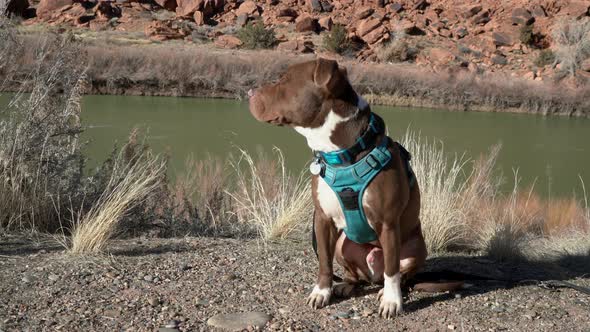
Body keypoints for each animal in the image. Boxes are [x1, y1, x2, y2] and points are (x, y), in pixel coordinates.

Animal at [247, 57, 428, 320]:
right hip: (344, 244)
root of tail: (372, 274)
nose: (249, 92)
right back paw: (346, 285)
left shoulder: (388, 223)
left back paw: (384, 291)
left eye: (284, 80)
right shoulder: (322, 219)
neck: (341, 153)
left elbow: (392, 270)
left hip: (416, 247)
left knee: (396, 273)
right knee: (357, 276)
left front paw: (392, 302)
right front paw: (322, 292)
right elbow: (324, 261)